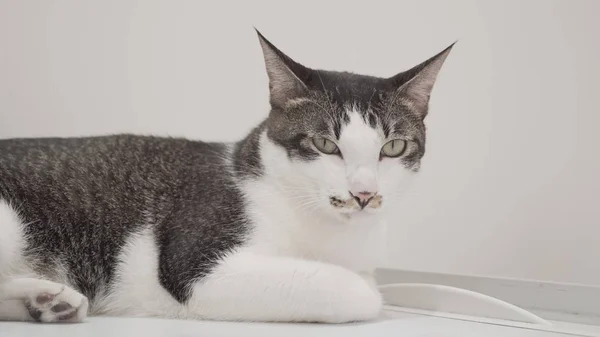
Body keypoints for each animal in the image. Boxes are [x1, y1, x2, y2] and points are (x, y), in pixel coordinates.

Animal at [0, 30, 452, 322]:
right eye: (325, 144)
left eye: (393, 148)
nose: (363, 194)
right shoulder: (198, 265)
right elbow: (362, 290)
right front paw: (369, 289)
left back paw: (43, 301)